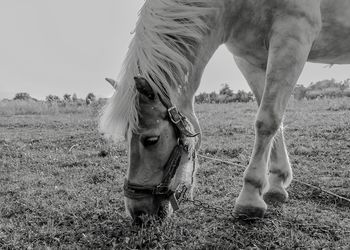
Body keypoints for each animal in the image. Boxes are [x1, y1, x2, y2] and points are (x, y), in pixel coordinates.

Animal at [99, 0, 350, 223]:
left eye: (151, 140)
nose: (138, 213)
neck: (234, 6)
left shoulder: (292, 39)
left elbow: (267, 120)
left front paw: (250, 198)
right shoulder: (249, 60)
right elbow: (274, 120)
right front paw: (276, 183)